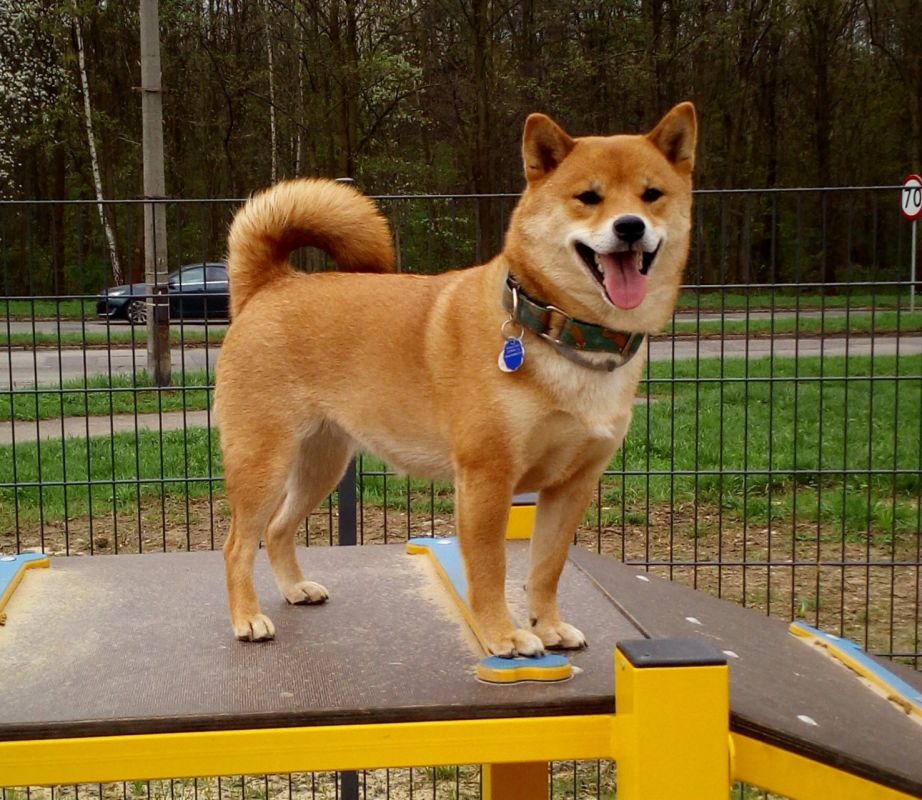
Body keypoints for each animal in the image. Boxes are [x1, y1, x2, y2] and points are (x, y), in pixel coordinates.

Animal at [215, 103, 697, 656]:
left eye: (651, 194)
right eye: (588, 197)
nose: (630, 226)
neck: (561, 335)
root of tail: (270, 285)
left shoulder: (572, 486)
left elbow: (546, 568)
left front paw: (548, 626)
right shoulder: (487, 478)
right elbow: (490, 570)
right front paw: (503, 635)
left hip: (321, 464)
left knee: (277, 530)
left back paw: (295, 588)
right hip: (263, 464)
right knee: (237, 545)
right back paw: (248, 618)